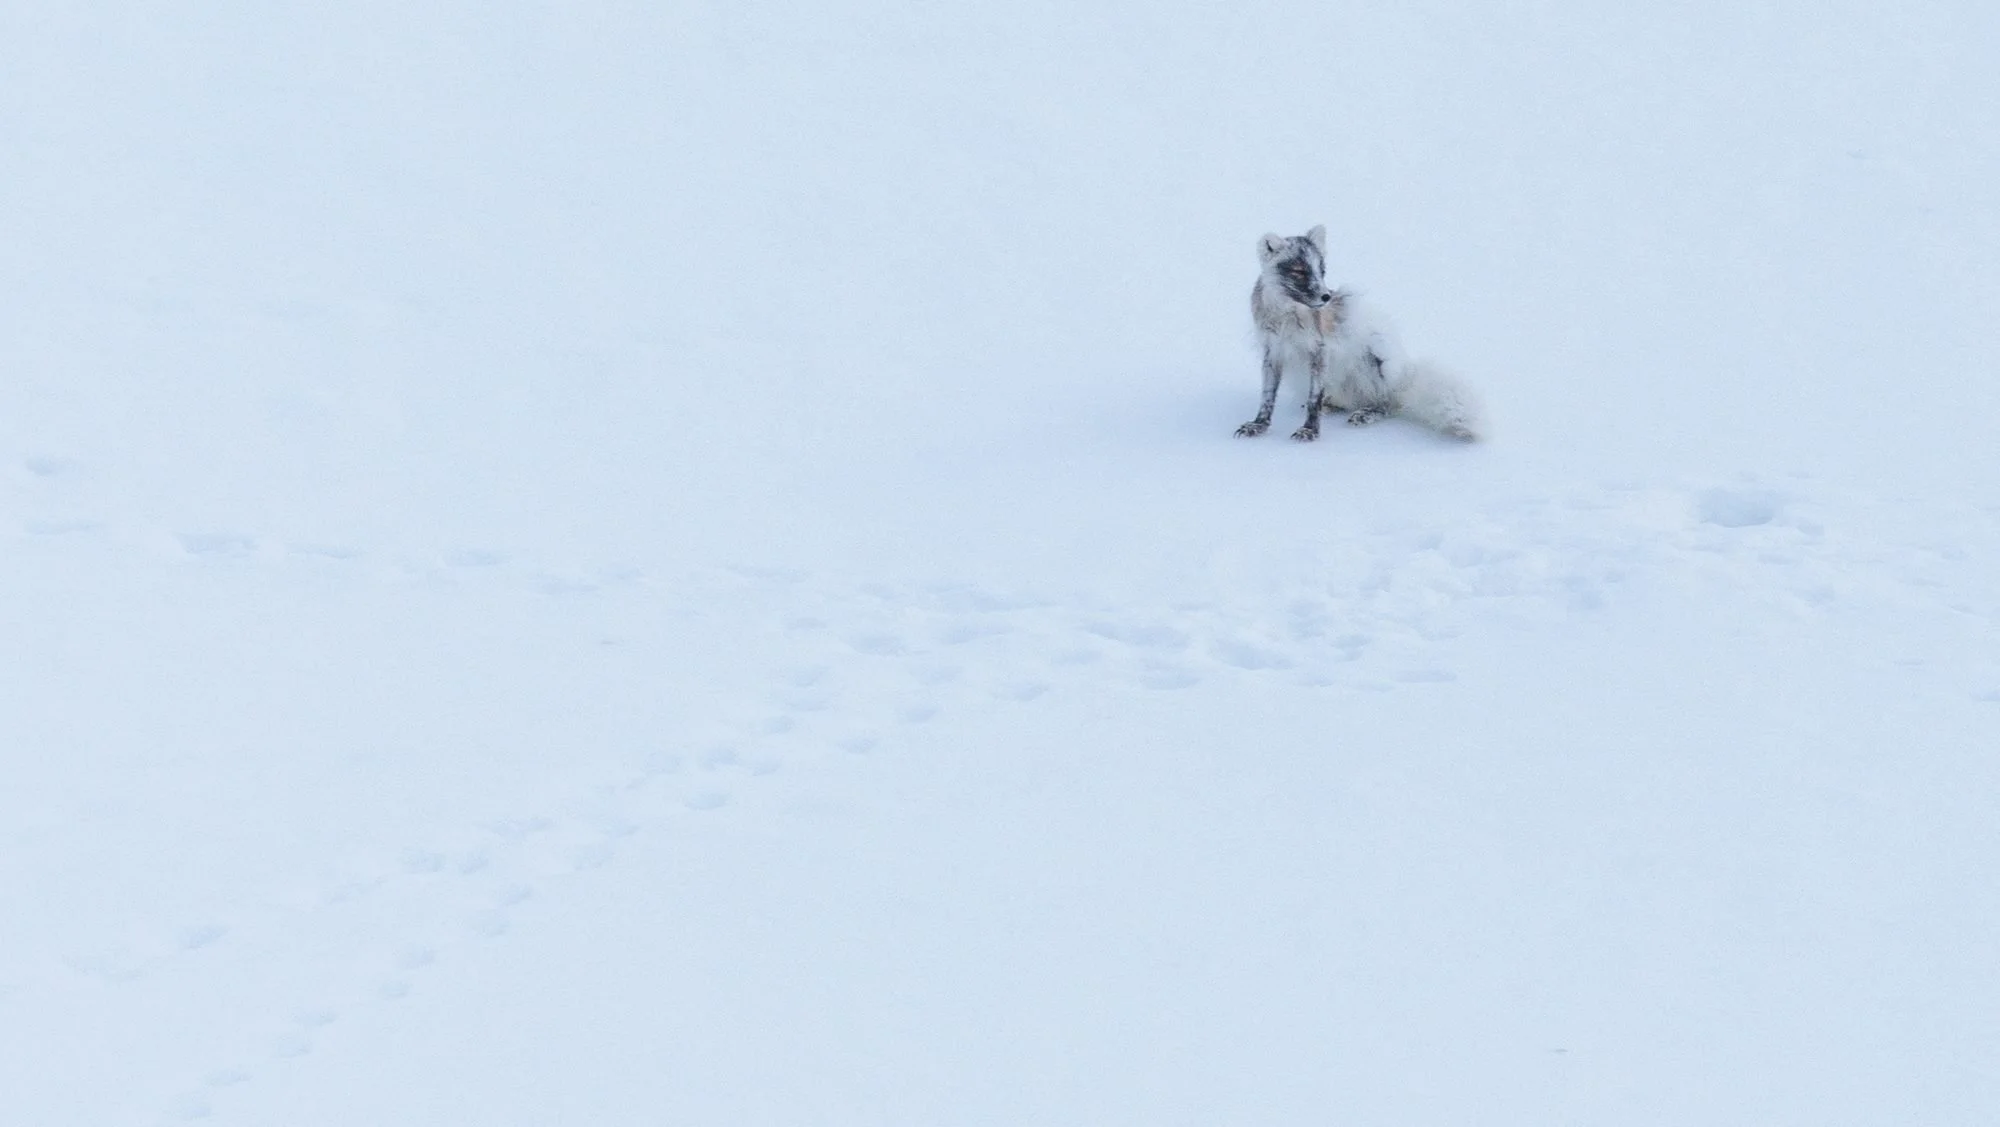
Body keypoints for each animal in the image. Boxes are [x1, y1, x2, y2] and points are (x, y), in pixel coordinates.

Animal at [1234, 225, 1481, 443]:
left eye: (1322, 271)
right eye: (1300, 272)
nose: (1326, 297)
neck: (1286, 315)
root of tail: (1404, 379)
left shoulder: (1320, 351)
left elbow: (1314, 398)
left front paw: (1310, 430)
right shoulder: (1273, 352)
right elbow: (1267, 396)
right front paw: (1258, 425)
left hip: (1378, 358)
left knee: (1388, 403)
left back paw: (1367, 413)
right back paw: (1332, 404)